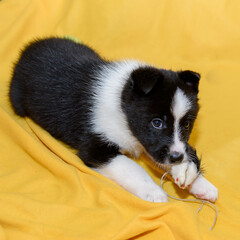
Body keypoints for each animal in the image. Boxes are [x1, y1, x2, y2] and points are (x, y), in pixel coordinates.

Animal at [8, 38, 218, 202]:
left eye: (186, 124)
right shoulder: (96, 148)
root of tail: (29, 48)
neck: (122, 106)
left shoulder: (150, 145)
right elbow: (131, 167)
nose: (177, 158)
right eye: (157, 123)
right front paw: (152, 191)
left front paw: (196, 180)